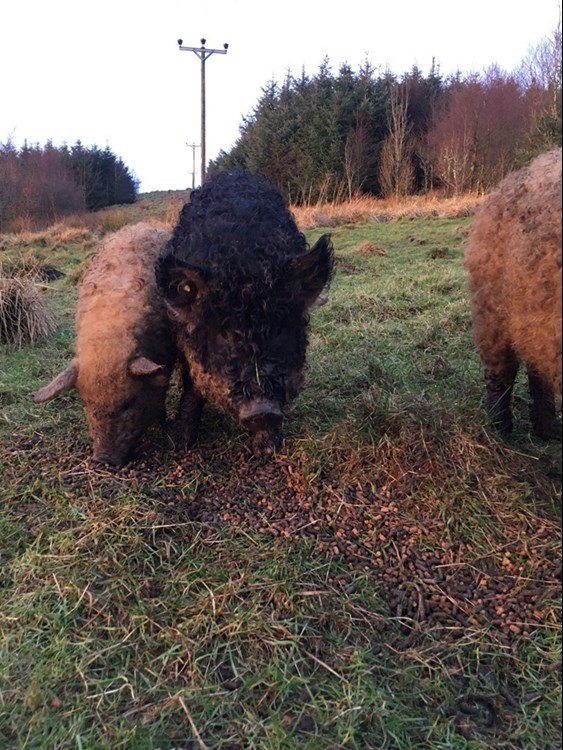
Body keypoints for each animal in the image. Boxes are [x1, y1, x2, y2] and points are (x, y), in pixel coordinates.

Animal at [156, 170, 334, 455]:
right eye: (223, 333)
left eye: (280, 328)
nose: (262, 410)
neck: (244, 263)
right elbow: (193, 386)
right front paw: (179, 445)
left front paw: (266, 451)